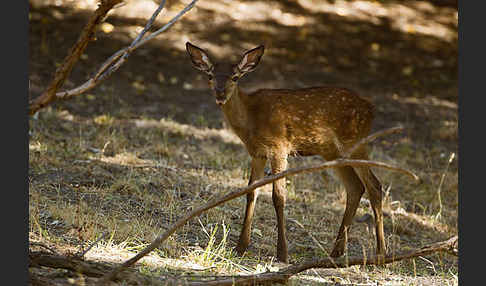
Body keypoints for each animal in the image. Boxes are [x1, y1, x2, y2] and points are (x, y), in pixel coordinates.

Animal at [184, 41, 386, 262]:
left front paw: (282, 253)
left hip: (355, 141)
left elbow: (278, 196)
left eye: (235, 77)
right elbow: (251, 192)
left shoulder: (279, 147)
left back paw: (381, 253)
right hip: (333, 151)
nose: (220, 95)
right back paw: (337, 251)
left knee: (375, 185)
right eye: (210, 76)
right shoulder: (257, 153)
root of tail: (371, 109)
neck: (251, 119)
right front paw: (240, 246)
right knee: (355, 187)